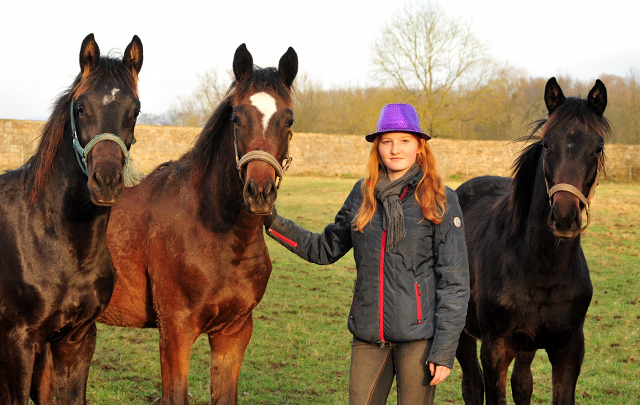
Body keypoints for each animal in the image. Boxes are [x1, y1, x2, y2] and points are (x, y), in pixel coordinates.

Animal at [452, 76, 608, 404]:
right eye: (547, 144)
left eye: (598, 147)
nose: (564, 216)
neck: (542, 267)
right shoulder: (496, 350)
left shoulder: (569, 348)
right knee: (472, 385)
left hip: (529, 344)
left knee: (522, 383)